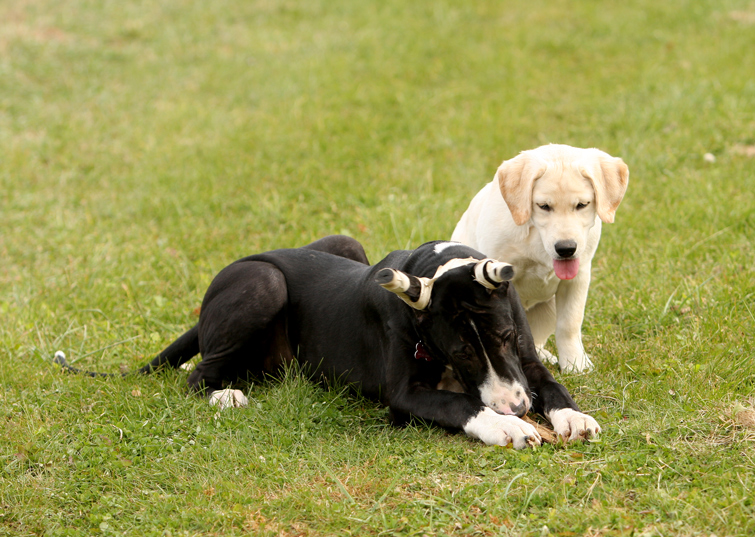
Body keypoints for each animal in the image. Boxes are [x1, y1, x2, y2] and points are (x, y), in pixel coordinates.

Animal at [54, 236, 604, 448]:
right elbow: (462, 405)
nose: (516, 407)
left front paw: (571, 416)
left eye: (507, 336)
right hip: (263, 282)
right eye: (461, 352)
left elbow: (552, 386)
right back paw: (225, 394)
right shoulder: (405, 395)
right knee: (197, 376)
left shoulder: (526, 365)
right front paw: (505, 427)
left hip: (344, 244)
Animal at [452, 146, 628, 372]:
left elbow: (569, 324)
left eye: (582, 205)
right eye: (543, 206)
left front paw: (575, 365)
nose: (566, 249)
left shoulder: (578, 277)